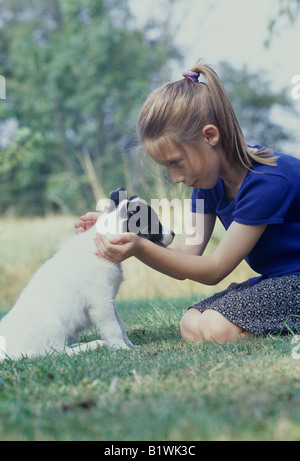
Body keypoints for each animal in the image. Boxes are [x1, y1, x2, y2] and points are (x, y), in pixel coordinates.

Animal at [0, 187, 175, 360]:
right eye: (154, 222)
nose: (173, 233)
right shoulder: (101, 303)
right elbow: (114, 329)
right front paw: (121, 348)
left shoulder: (110, 301)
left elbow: (121, 326)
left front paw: (130, 346)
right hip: (53, 327)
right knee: (57, 352)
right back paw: (91, 345)